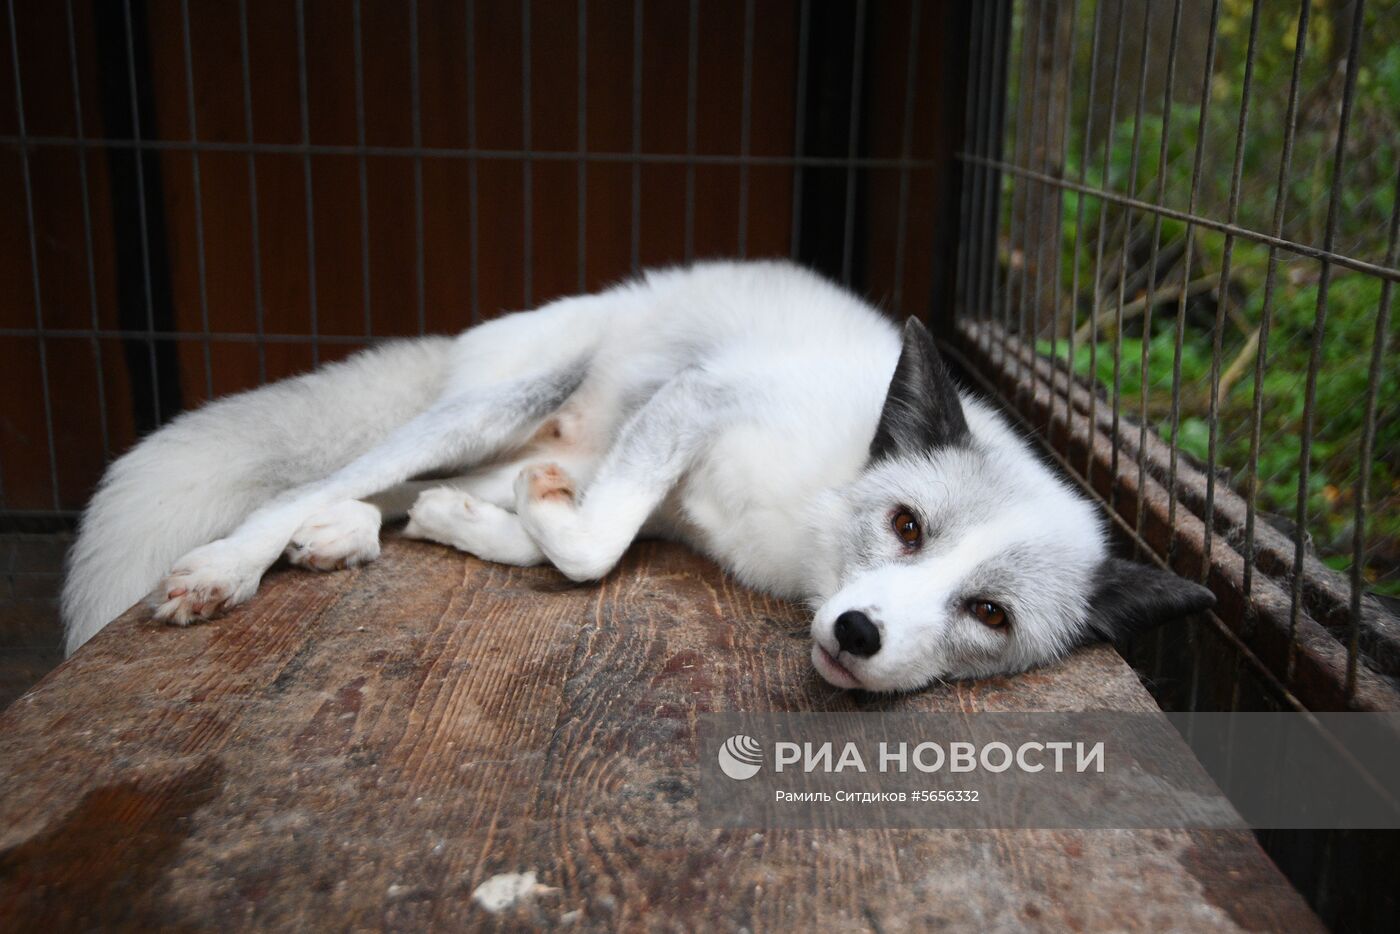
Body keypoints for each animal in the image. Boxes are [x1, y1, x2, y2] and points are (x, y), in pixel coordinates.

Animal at [63, 259, 1215, 691]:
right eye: (905, 526)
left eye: (988, 613)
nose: (857, 635)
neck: (803, 543)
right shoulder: (701, 397)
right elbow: (590, 547)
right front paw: (542, 525)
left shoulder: (666, 497)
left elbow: (567, 537)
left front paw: (474, 527)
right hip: (498, 402)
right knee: (303, 483)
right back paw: (237, 563)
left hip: (514, 436)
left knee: (408, 490)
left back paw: (360, 530)